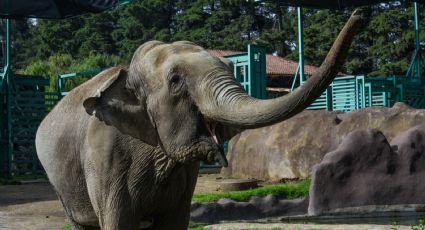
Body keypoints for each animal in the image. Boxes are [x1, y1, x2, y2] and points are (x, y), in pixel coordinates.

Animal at [34, 9, 362, 230]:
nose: (359, 14)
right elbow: (118, 221)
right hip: (62, 185)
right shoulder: (105, 159)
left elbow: (175, 222)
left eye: (230, 67)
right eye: (176, 80)